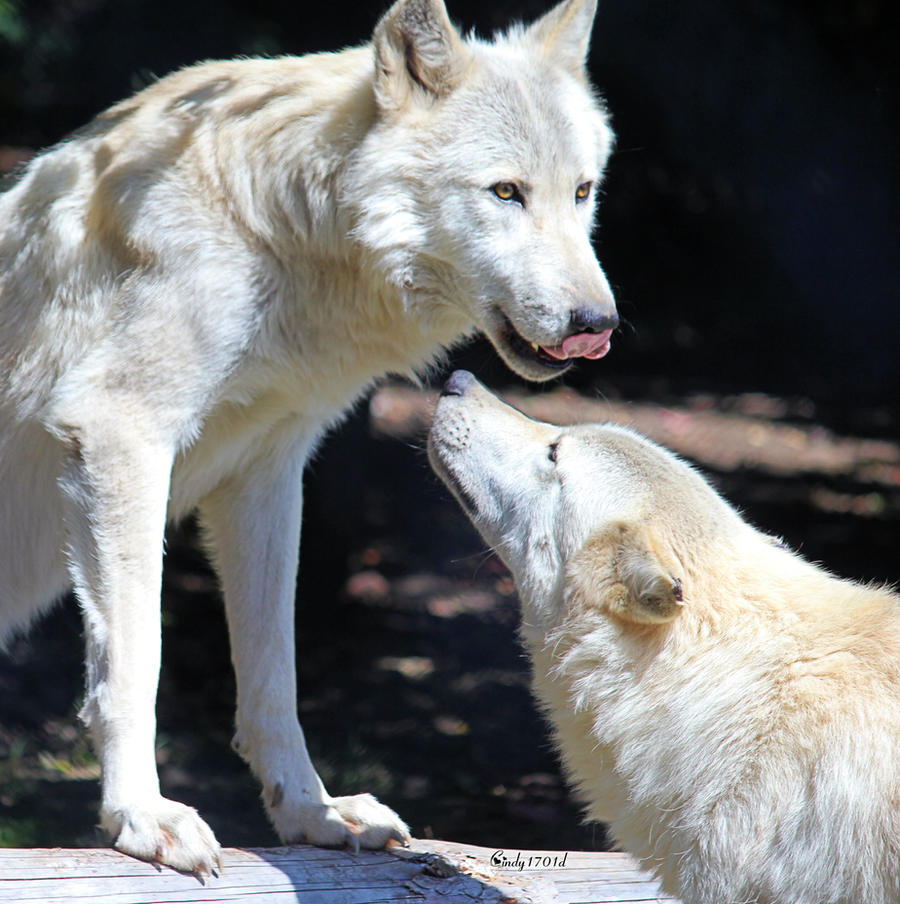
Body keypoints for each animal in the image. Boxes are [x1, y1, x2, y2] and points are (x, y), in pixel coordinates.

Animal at [0, 0, 617, 874]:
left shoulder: (266, 473)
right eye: (506, 192)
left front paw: (311, 812)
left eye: (582, 191)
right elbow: (137, 662)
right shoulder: (121, 432)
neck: (281, 239)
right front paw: (140, 818)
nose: (598, 324)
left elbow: (274, 676)